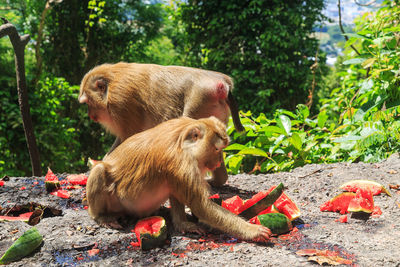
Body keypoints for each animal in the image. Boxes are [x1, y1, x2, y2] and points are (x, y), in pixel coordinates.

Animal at [78, 62, 244, 188]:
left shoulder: (120, 101)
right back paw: (219, 180)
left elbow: (128, 138)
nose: (90, 114)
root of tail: (222, 84)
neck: (112, 80)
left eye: (88, 103)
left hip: (200, 103)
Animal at [85, 117, 270, 243]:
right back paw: (102, 217)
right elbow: (201, 206)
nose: (218, 161)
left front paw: (183, 224)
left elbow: (178, 190)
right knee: (99, 171)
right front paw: (252, 230)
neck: (184, 144)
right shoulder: (181, 163)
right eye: (217, 149)